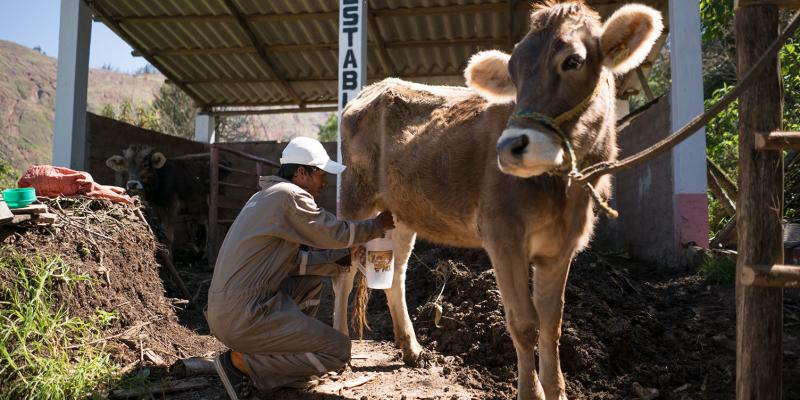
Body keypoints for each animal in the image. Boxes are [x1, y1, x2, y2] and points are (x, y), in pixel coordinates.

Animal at [332, 3, 664, 400]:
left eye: (573, 61)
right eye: (513, 73)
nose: (509, 147)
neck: (563, 192)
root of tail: (372, 88)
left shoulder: (561, 246)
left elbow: (552, 323)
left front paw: (556, 390)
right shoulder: (502, 235)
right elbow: (524, 323)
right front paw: (531, 392)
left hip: (401, 213)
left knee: (396, 274)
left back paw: (411, 348)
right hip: (355, 197)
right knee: (343, 272)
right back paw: (340, 344)